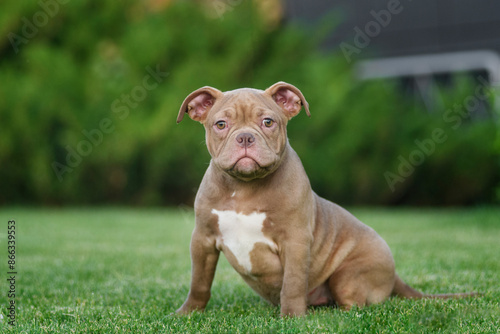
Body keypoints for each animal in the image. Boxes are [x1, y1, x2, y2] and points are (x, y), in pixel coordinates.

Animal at [177, 81, 476, 316]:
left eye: (268, 122)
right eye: (221, 124)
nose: (246, 137)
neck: (245, 186)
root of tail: (395, 275)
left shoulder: (295, 242)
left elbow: (293, 283)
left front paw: (293, 317)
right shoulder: (202, 240)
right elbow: (199, 282)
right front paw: (188, 313)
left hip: (349, 274)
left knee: (354, 303)